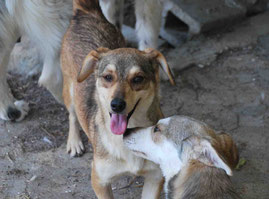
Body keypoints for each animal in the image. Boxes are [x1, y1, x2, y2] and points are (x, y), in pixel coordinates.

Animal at [60, 0, 174, 198]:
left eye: (138, 79)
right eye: (108, 77)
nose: (116, 105)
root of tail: (86, 11)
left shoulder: (154, 178)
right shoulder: (100, 181)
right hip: (70, 90)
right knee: (72, 115)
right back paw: (74, 142)